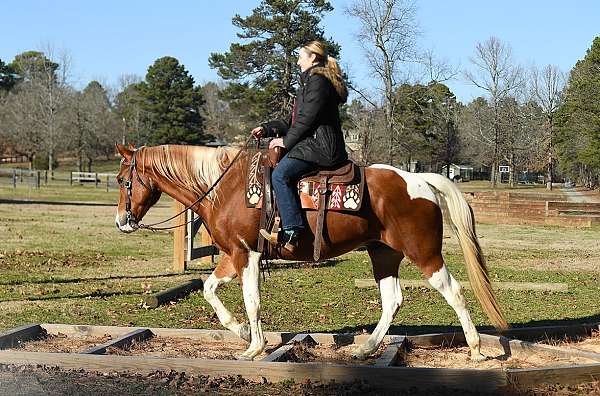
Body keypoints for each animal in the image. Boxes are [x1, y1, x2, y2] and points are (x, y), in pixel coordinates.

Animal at [115, 144, 508, 360]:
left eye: (122, 180)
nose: (122, 220)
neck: (223, 186)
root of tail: (420, 180)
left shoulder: (247, 256)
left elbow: (252, 302)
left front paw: (254, 346)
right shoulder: (231, 254)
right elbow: (209, 290)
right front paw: (240, 332)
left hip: (424, 254)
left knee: (453, 291)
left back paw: (475, 348)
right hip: (383, 254)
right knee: (392, 300)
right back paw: (366, 348)